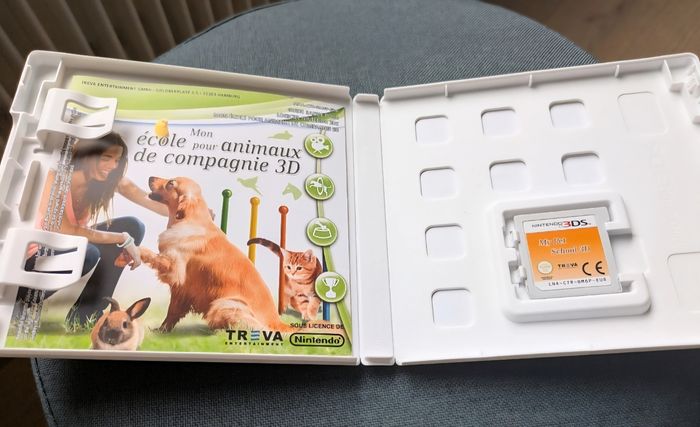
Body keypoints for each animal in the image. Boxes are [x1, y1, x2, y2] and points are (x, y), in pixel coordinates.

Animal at [140, 176, 294, 333]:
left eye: (171, 183)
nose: (150, 177)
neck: (188, 220)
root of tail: (277, 321)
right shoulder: (181, 290)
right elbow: (172, 312)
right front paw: (161, 330)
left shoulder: (175, 271)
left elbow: (151, 255)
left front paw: (137, 249)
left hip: (224, 304)